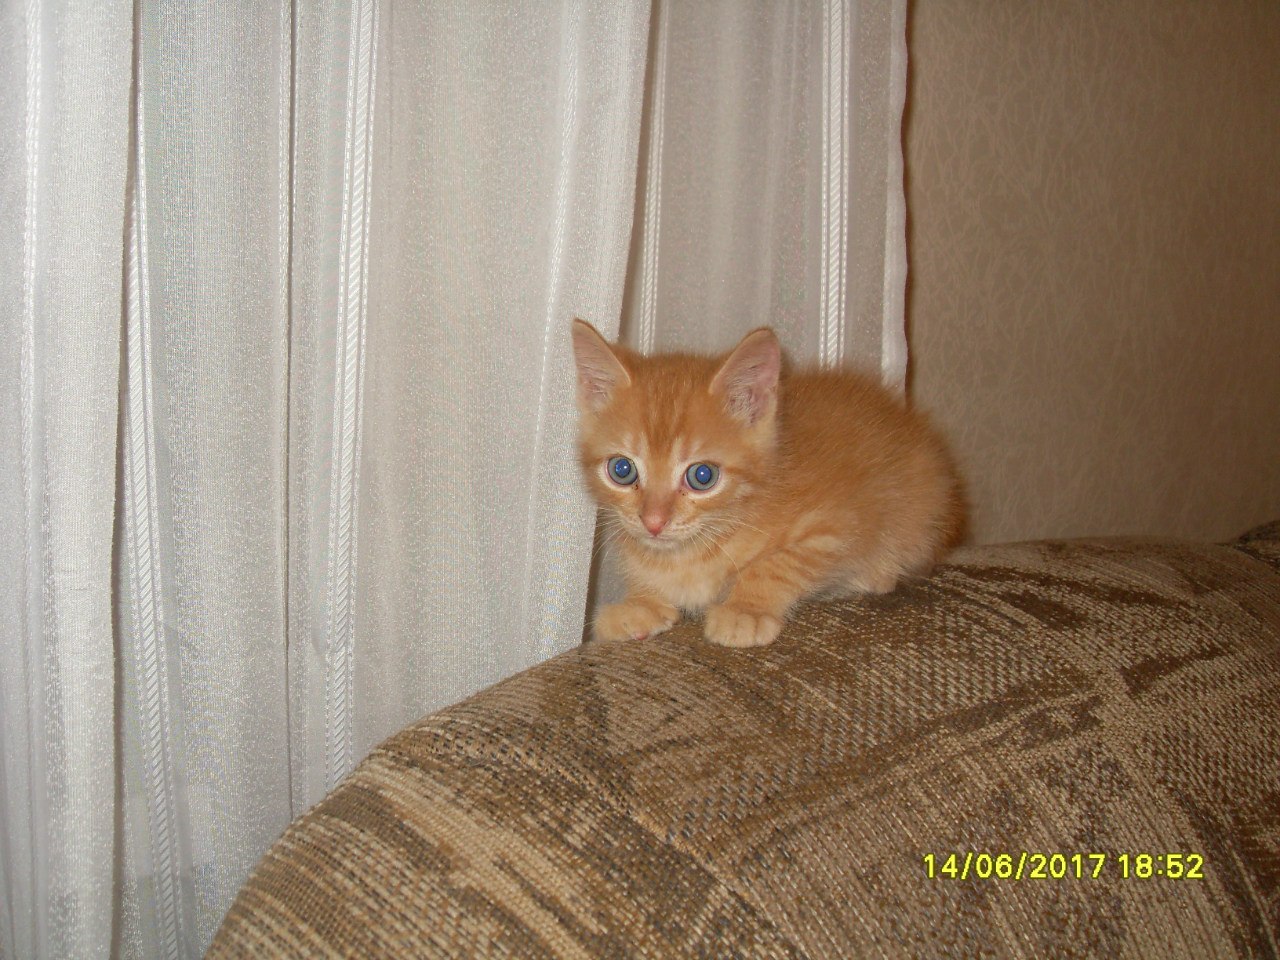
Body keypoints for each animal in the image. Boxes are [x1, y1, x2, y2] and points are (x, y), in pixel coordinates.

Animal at [571, 319, 963, 648]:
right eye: (622, 470)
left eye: (702, 476)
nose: (653, 522)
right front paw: (640, 601)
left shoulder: (836, 527)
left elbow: (777, 564)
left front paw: (746, 610)